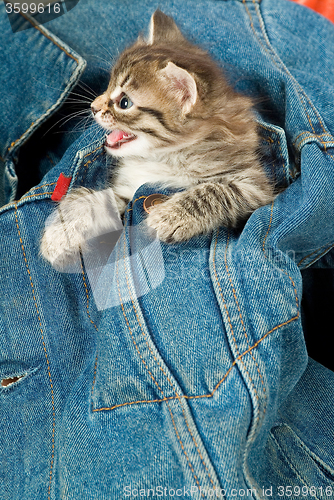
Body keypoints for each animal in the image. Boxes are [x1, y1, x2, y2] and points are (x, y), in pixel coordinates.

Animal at [40, 8, 274, 266]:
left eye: (124, 102)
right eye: (108, 85)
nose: (93, 107)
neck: (162, 156)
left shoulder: (254, 186)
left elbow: (214, 191)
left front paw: (169, 216)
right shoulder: (127, 191)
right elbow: (87, 200)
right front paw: (60, 233)